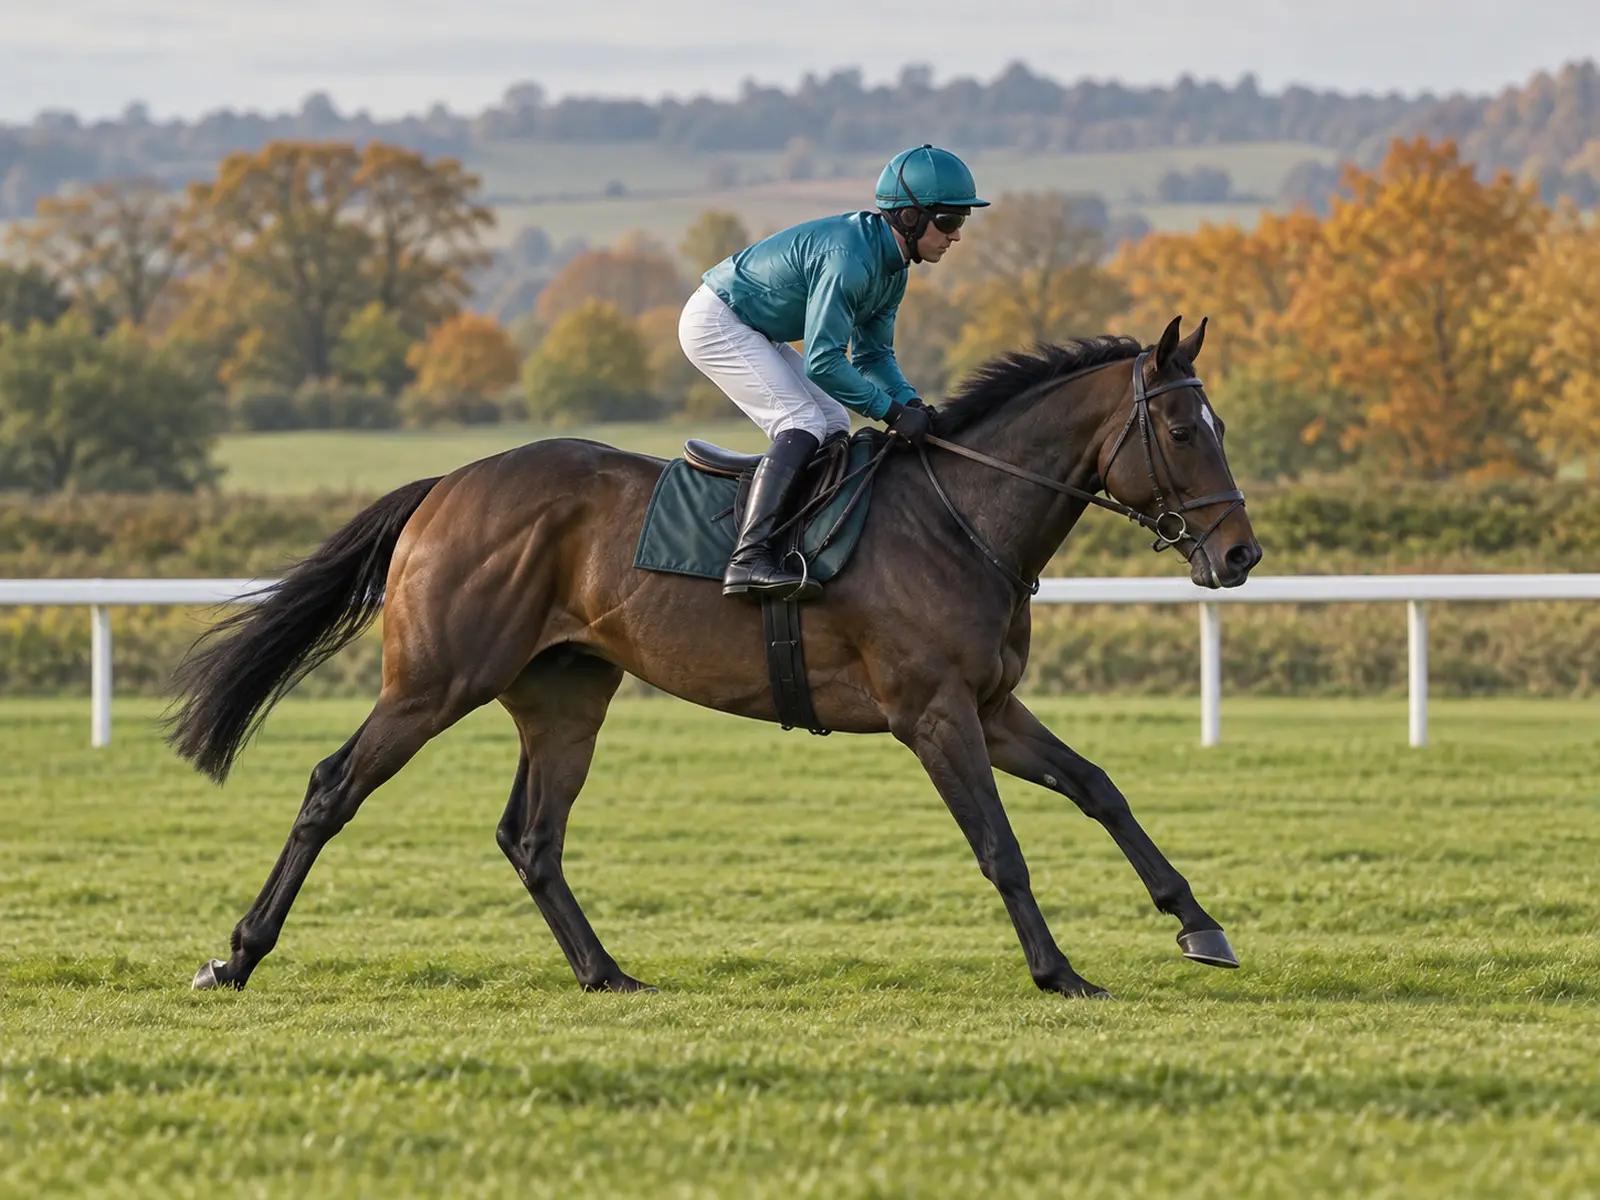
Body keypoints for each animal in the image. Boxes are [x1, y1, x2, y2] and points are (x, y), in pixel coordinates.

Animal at [169, 315, 1261, 1000]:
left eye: (1218, 423)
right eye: (1178, 428)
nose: (1241, 554)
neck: (964, 516)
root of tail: (447, 486)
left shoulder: (990, 707)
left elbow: (1099, 786)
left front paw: (1197, 923)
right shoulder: (933, 711)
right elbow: (1001, 846)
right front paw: (1059, 972)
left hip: (565, 694)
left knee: (532, 835)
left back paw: (605, 972)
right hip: (435, 681)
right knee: (331, 788)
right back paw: (237, 957)